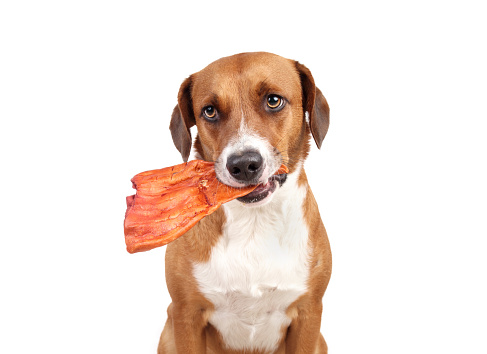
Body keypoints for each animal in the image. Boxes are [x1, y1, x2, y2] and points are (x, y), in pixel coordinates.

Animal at [158, 51, 334, 352]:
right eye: (210, 111)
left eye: (273, 100)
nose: (243, 164)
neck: (255, 221)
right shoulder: (185, 314)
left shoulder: (308, 314)